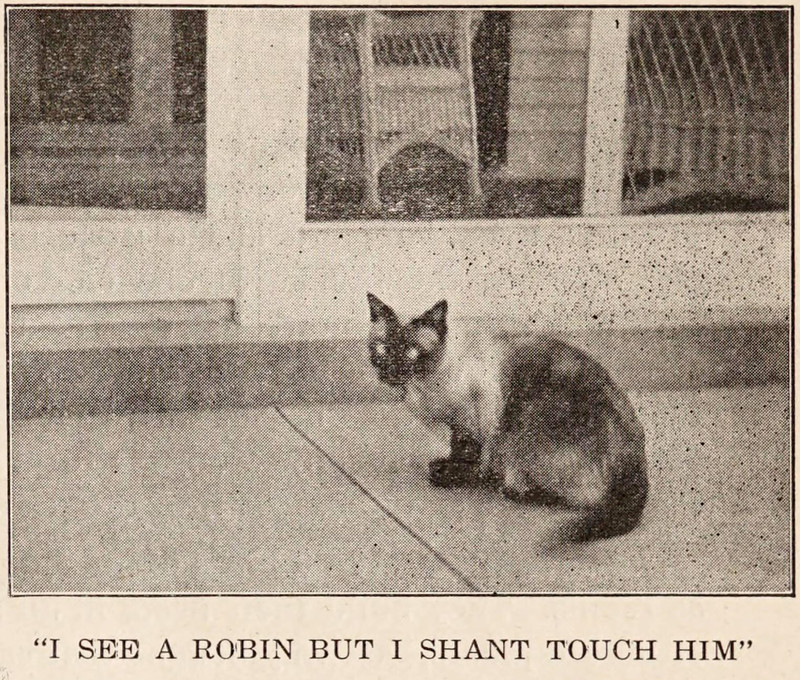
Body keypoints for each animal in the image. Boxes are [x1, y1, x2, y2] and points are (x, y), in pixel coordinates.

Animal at [366, 292, 648, 542]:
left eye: (411, 351)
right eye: (382, 348)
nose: (390, 372)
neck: (423, 386)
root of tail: (635, 461)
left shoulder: (473, 419)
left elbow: (471, 454)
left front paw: (455, 473)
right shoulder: (458, 425)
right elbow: (458, 449)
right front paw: (451, 466)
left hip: (521, 427)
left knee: (573, 497)